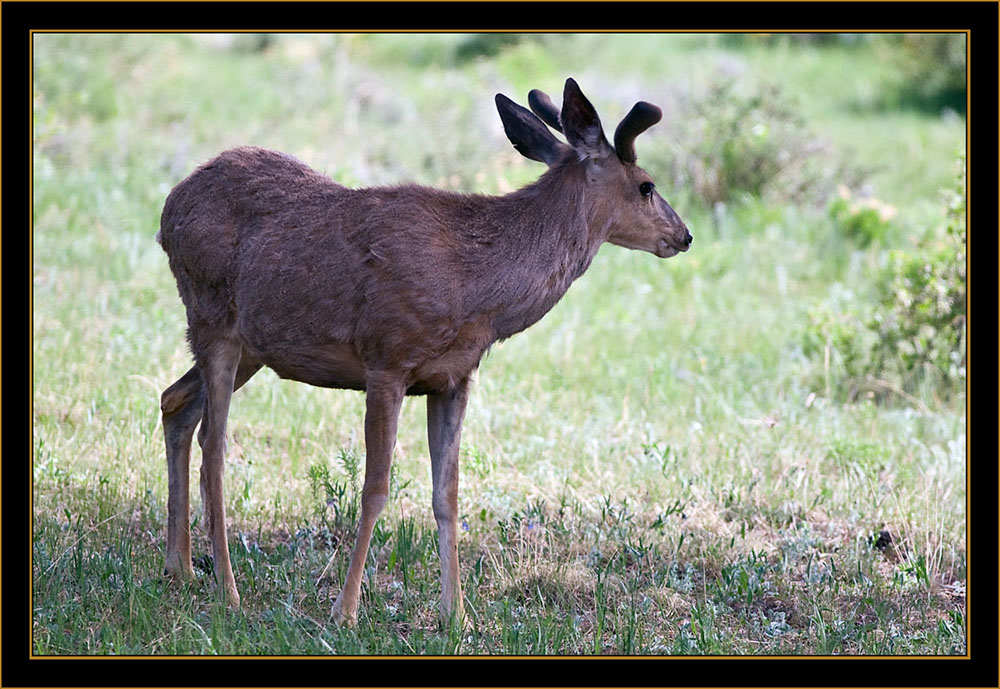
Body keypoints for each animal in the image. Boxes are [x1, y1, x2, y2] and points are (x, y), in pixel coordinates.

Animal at [156, 78, 692, 628]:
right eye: (646, 185)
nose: (684, 235)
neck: (476, 288)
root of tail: (169, 206)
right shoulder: (386, 360)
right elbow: (375, 490)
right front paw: (345, 611)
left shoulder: (453, 378)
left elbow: (446, 495)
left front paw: (457, 616)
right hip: (212, 317)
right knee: (214, 448)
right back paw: (227, 589)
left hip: (251, 347)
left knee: (175, 401)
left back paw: (181, 567)